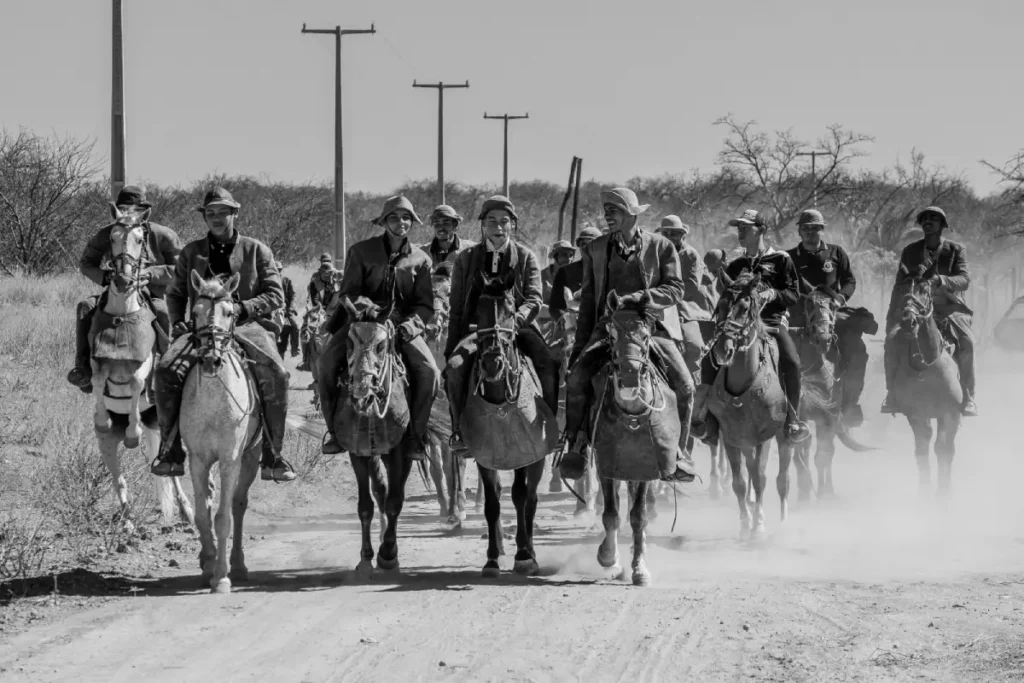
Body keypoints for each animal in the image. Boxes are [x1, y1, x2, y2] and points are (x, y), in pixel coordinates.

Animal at [90, 202, 192, 524]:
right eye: (112, 238)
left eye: (138, 238)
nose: (122, 280)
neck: (122, 314)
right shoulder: (98, 362)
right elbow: (98, 381)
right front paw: (102, 419)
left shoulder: (143, 365)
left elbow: (135, 381)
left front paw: (133, 434)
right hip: (110, 444)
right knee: (119, 477)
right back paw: (127, 522)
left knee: (175, 471)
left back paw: (189, 511)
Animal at [458, 270, 557, 577]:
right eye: (478, 310)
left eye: (511, 311)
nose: (493, 363)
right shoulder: (485, 455)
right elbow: (492, 502)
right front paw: (491, 558)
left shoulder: (528, 454)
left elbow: (522, 497)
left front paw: (524, 555)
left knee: (530, 499)